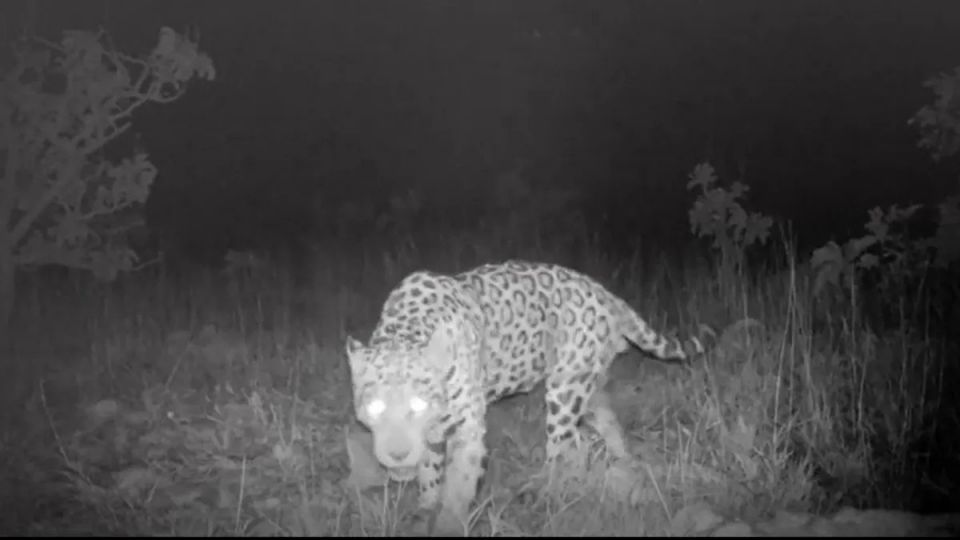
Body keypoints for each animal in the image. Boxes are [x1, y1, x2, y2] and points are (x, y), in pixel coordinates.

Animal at [345, 260, 707, 535]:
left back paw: (545, 500)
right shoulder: (433, 436)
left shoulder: (468, 431)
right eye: (375, 406)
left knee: (561, 451)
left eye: (418, 406)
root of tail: (604, 292)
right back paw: (623, 468)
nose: (397, 454)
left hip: (563, 391)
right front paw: (424, 510)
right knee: (601, 428)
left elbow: (459, 485)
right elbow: (430, 475)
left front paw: (448, 523)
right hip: (586, 388)